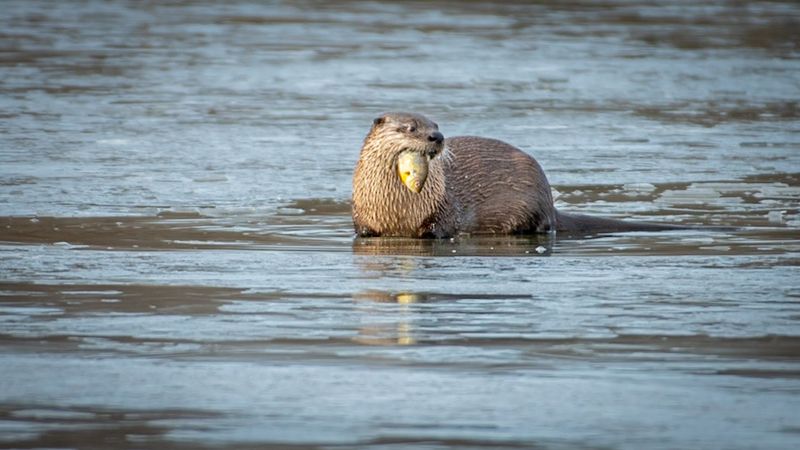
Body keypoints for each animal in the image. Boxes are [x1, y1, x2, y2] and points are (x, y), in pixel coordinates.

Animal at [352, 112, 680, 238]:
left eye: (436, 124)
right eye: (410, 127)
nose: (437, 137)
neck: (397, 210)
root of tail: (550, 201)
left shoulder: (441, 212)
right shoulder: (362, 218)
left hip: (531, 205)